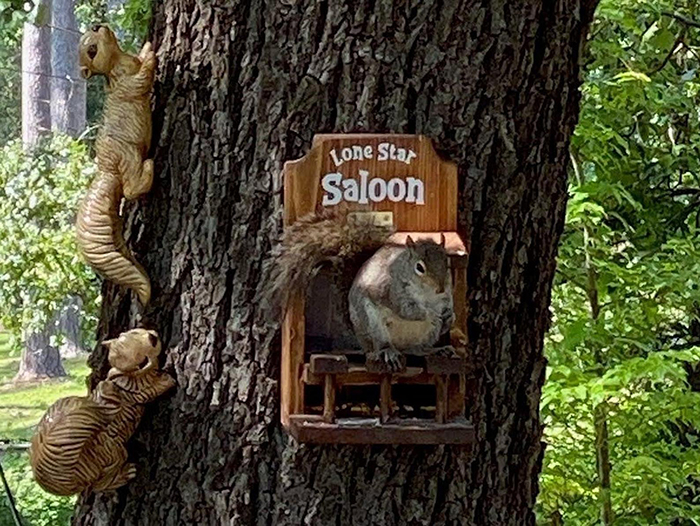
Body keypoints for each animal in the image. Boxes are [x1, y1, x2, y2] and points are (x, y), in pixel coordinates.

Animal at [266, 212, 456, 374]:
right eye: (419, 267)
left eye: (447, 263)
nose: (440, 288)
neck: (427, 295)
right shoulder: (391, 290)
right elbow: (406, 310)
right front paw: (430, 314)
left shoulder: (446, 296)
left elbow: (448, 304)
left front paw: (449, 316)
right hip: (372, 324)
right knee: (380, 346)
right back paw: (388, 351)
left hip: (427, 334)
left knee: (416, 349)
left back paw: (437, 349)